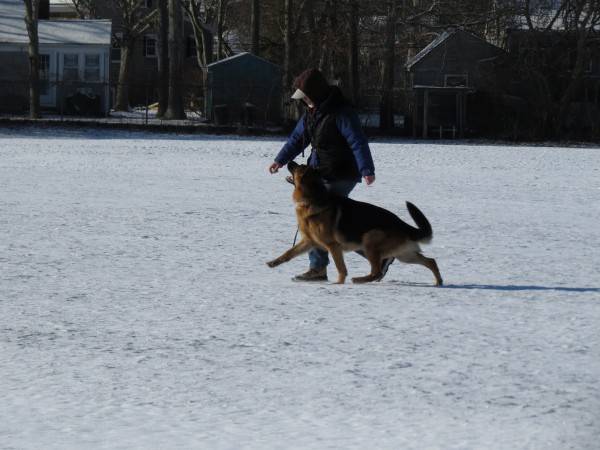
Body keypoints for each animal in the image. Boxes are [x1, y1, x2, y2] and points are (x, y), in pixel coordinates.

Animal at [264, 162, 442, 284]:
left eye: (298, 167)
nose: (288, 161)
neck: (312, 197)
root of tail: (403, 224)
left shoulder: (333, 246)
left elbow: (341, 268)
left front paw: (338, 284)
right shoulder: (309, 241)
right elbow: (288, 253)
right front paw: (273, 262)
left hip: (370, 240)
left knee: (376, 271)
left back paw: (359, 280)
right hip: (404, 255)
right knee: (431, 261)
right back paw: (439, 282)